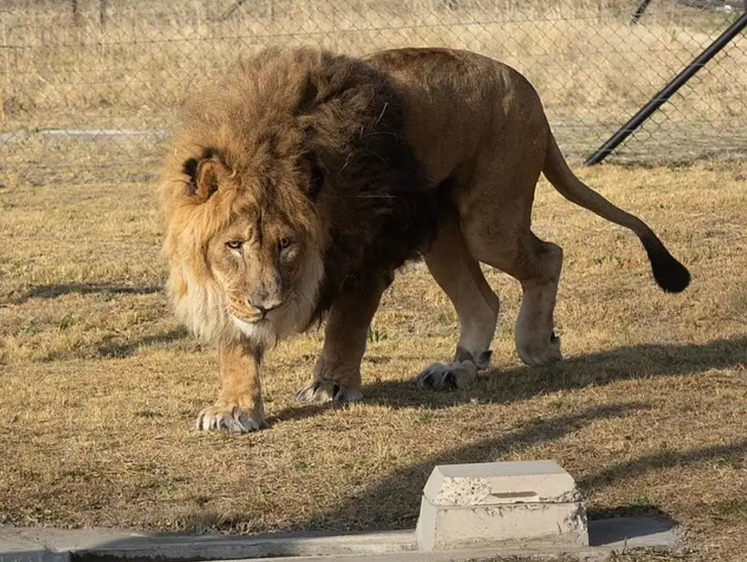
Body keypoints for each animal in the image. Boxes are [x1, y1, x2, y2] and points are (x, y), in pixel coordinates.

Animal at [159, 48, 688, 434]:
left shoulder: (368, 255)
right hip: (443, 237)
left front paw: (331, 388)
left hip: (488, 222)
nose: (268, 304)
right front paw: (235, 408)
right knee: (483, 301)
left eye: (287, 243)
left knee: (548, 257)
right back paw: (459, 369)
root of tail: (526, 85)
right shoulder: (228, 292)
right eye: (234, 245)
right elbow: (237, 344)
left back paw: (537, 345)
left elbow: (346, 328)